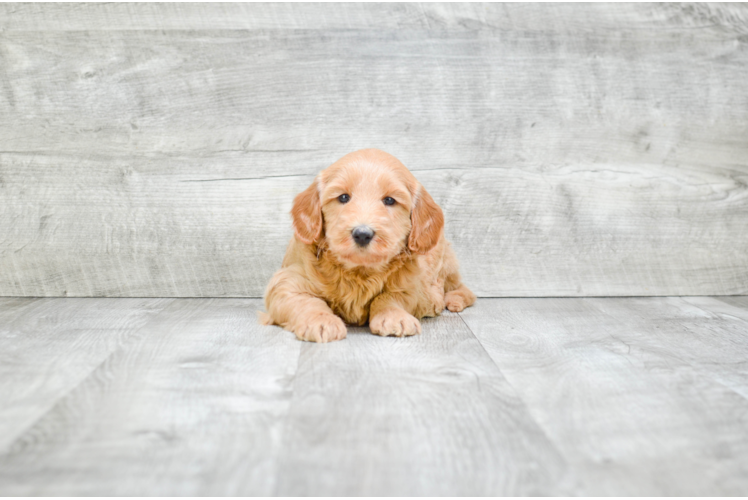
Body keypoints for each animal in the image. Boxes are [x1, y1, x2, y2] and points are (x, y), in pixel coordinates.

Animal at [260, 148, 476, 344]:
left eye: (389, 200)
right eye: (343, 197)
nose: (362, 234)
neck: (359, 271)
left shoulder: (412, 286)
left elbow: (390, 296)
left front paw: (393, 316)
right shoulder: (286, 281)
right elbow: (308, 300)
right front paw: (321, 322)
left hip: (444, 259)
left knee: (459, 289)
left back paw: (447, 299)